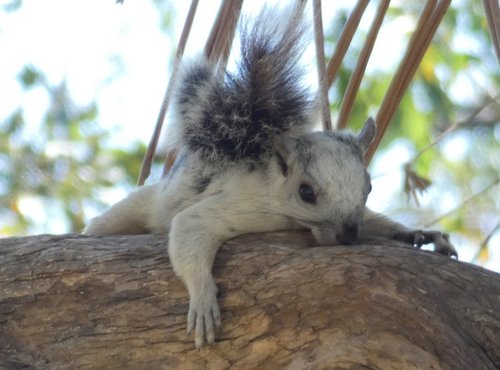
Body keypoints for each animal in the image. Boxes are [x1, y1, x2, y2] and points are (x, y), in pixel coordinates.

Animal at [85, 5, 458, 348]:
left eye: (369, 187)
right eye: (306, 192)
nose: (349, 236)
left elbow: (380, 221)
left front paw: (419, 233)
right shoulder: (240, 206)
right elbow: (189, 232)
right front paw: (203, 300)